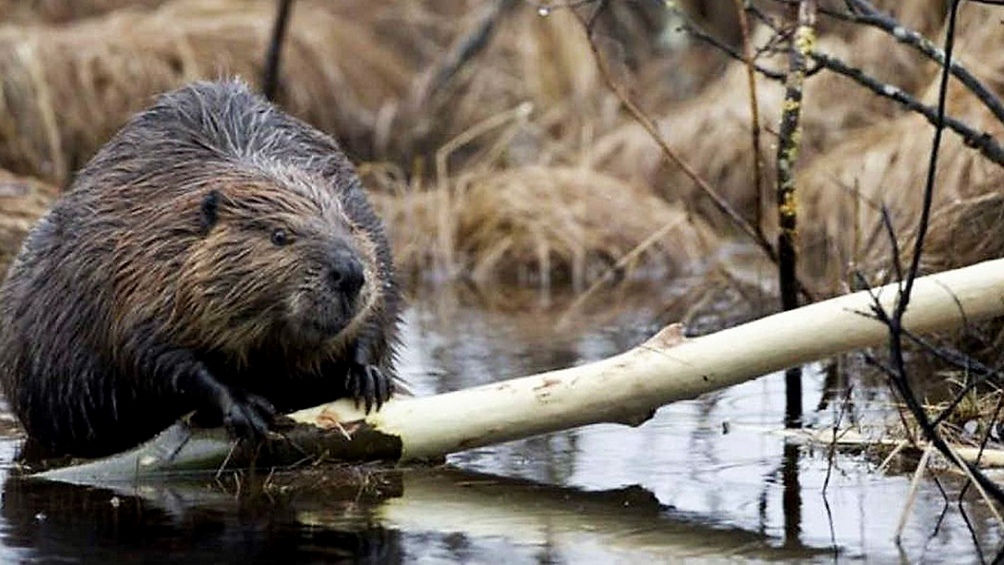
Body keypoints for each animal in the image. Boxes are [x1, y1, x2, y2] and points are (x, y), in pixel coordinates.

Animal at [0, 80, 399, 459]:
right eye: (279, 235)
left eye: (349, 225)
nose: (350, 273)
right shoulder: (137, 269)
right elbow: (152, 352)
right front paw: (246, 407)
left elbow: (379, 311)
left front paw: (368, 376)